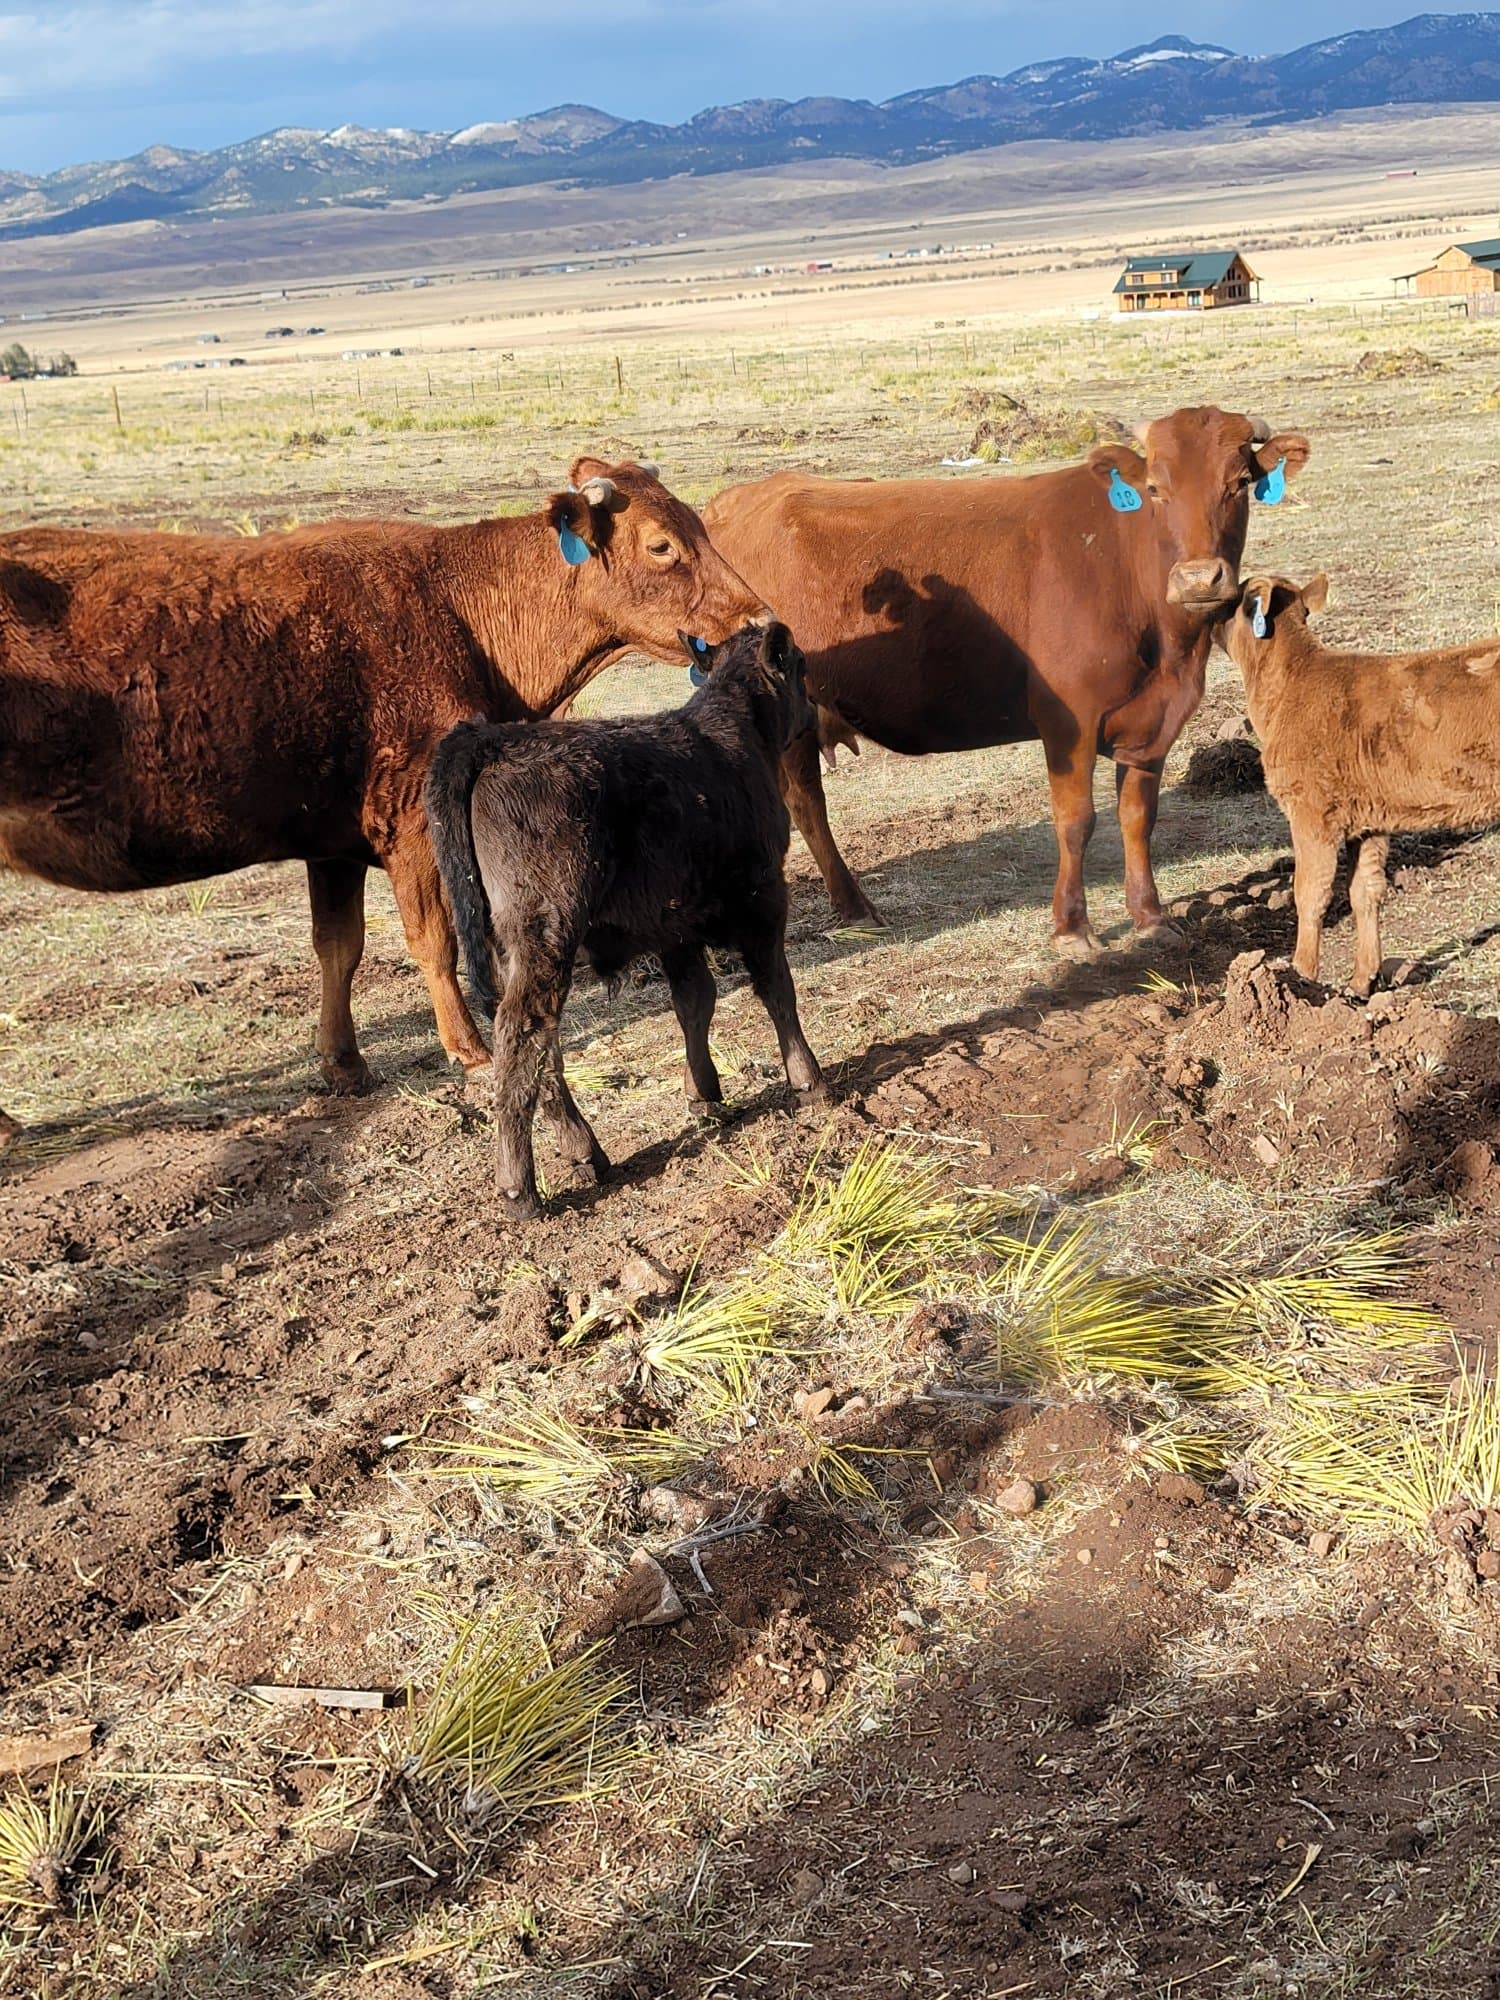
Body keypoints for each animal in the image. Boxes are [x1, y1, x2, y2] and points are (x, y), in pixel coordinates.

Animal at [0, 459, 764, 1142]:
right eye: (662, 545)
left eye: (698, 524)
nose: (759, 617)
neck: (456, 608)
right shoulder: (414, 824)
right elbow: (433, 941)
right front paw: (468, 1049)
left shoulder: (332, 844)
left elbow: (338, 947)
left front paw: (344, 1064)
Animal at [424, 621, 826, 1219]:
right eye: (800, 664)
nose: (816, 710)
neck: (734, 734)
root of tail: (489, 739)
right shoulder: (763, 896)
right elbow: (777, 988)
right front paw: (809, 1079)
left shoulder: (675, 925)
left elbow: (694, 1002)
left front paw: (703, 1093)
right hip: (545, 932)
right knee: (522, 1035)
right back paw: (520, 1189)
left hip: (510, 944)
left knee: (540, 1044)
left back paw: (585, 1151)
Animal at [703, 407, 1311, 954]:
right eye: (1156, 489)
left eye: (1239, 483)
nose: (1199, 579)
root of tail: (742, 497)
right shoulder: (1069, 722)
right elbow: (1076, 821)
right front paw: (1072, 929)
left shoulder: (1154, 723)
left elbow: (1138, 818)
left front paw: (1151, 918)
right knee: (807, 802)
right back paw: (854, 907)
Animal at [1219, 572, 1500, 996]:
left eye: (1230, 600)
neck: (1290, 686)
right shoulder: (1370, 821)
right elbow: (1364, 891)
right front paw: (1360, 983)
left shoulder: (1311, 812)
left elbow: (1310, 891)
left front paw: (1300, 977)